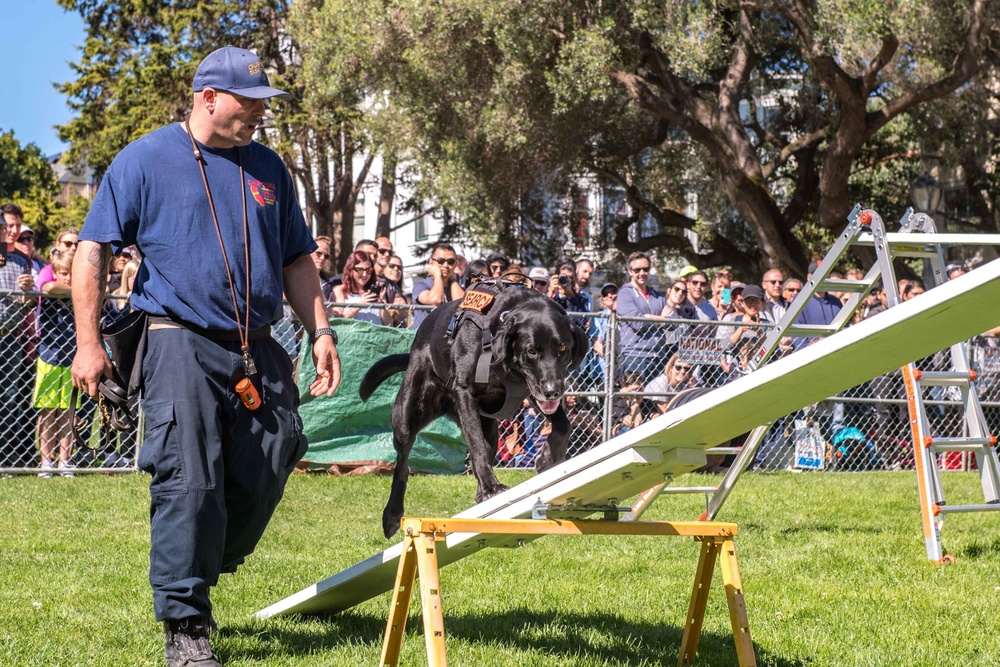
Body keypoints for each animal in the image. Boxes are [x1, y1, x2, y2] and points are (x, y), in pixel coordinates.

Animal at [362, 280, 588, 536]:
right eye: (532, 351)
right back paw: (392, 515)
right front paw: (492, 488)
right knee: (402, 465)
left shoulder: (530, 389)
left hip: (490, 426)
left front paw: (549, 458)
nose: (553, 391)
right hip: (407, 413)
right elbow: (477, 447)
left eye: (563, 349)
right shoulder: (465, 392)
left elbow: (563, 425)